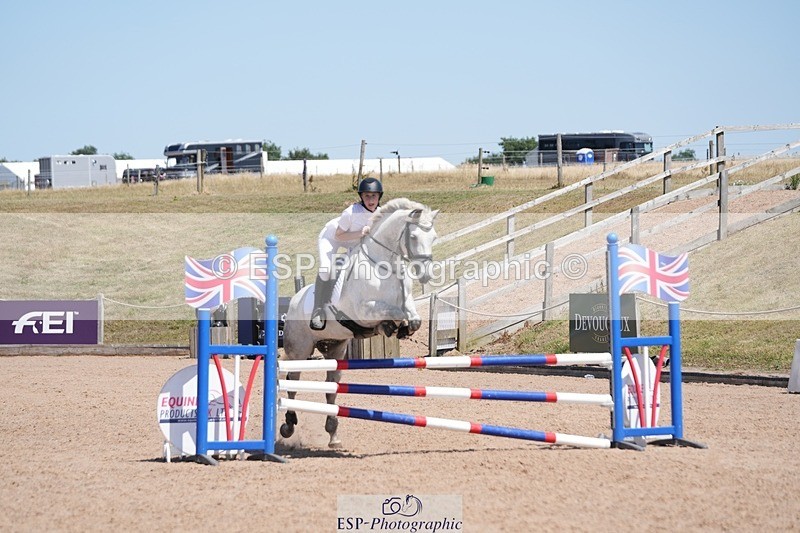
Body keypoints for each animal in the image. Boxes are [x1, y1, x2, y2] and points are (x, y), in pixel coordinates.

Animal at [281, 198, 439, 447]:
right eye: (413, 237)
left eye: (433, 237)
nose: (425, 275)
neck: (385, 267)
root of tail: (294, 300)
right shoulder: (364, 310)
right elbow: (392, 311)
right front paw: (389, 326)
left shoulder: (407, 303)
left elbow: (414, 318)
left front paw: (402, 328)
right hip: (300, 349)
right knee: (292, 381)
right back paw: (288, 425)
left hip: (335, 349)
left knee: (331, 387)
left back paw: (333, 434)